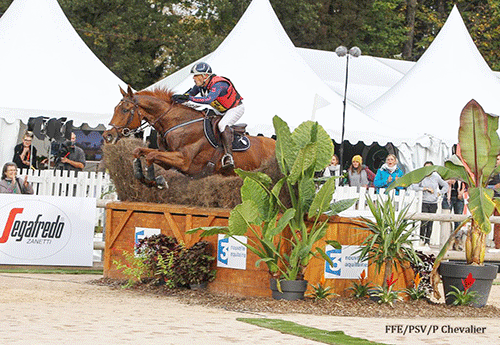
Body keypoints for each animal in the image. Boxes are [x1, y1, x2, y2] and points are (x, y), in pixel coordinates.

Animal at [103, 86, 278, 188]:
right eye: (115, 108)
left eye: (125, 110)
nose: (108, 135)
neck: (178, 123)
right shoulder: (168, 158)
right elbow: (140, 152)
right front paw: (142, 176)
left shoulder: (184, 161)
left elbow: (151, 155)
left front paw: (156, 181)